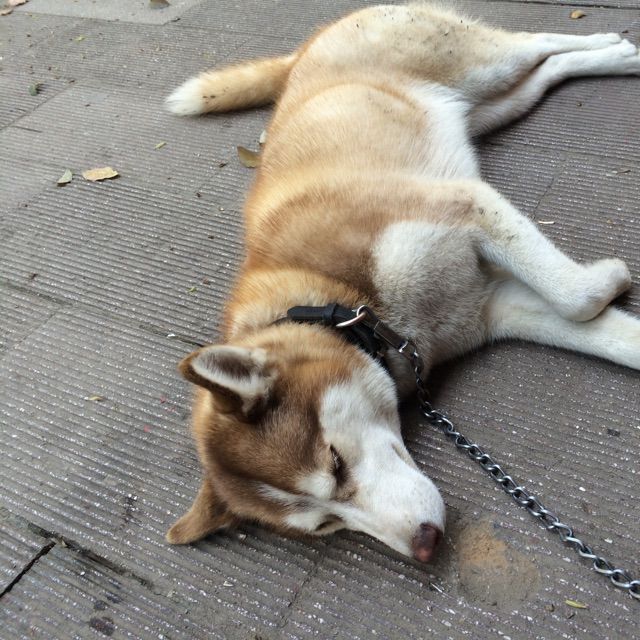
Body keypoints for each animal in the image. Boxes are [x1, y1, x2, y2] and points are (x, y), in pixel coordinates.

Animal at [164, 3, 640, 563]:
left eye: (335, 462)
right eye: (327, 524)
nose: (424, 545)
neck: (341, 301)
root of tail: (303, 50)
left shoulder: (464, 204)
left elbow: (578, 297)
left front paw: (610, 276)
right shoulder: (494, 307)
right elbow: (603, 328)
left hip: (477, 66)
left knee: (537, 40)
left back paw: (618, 48)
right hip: (496, 104)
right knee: (547, 71)